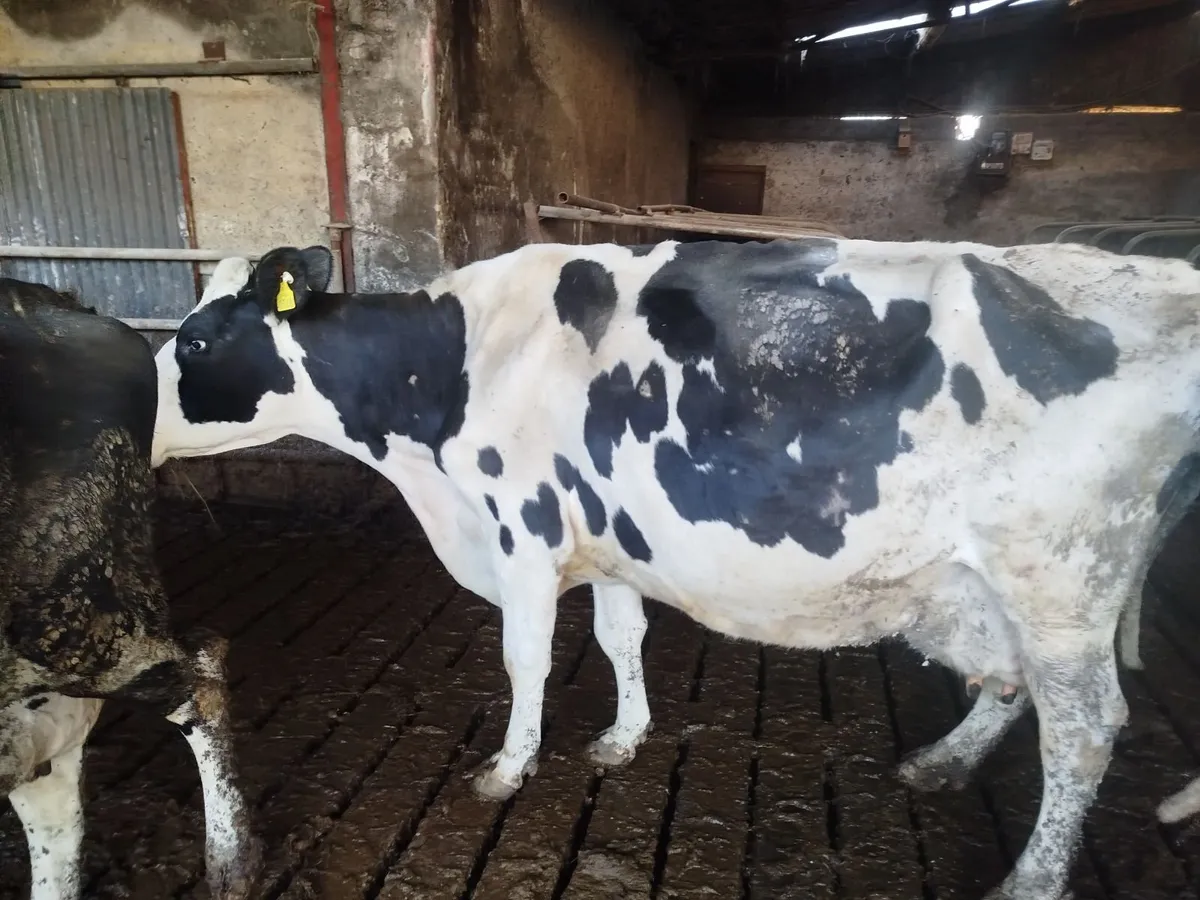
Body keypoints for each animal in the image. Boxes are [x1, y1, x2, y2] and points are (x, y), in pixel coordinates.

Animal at [150, 236, 1200, 900]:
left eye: (194, 339)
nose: (132, 412)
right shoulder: (612, 536)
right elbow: (622, 637)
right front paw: (624, 737)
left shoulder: (523, 530)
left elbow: (525, 659)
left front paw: (508, 768)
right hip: (998, 587)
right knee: (1011, 683)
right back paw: (942, 761)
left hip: (1059, 579)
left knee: (1083, 729)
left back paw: (1030, 878)